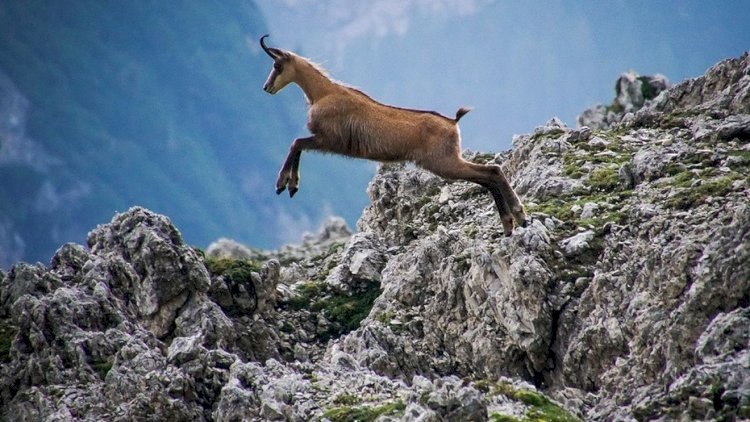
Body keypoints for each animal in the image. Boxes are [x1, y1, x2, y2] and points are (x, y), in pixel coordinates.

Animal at [259, 35, 527, 235]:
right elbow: (298, 145)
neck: (322, 93)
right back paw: (510, 223)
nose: (266, 87)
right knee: (488, 177)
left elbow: (296, 143)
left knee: (491, 172)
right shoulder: (325, 141)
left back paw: (518, 215)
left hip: (444, 162)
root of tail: (453, 123)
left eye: (277, 66)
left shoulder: (328, 140)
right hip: (448, 161)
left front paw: (285, 184)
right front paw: (290, 186)